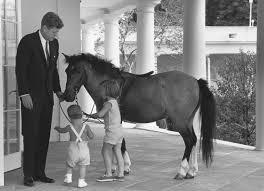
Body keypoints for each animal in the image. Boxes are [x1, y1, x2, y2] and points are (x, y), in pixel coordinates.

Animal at [63, 52, 216, 179]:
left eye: (77, 71)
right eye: (67, 71)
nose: (67, 95)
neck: (110, 84)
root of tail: (195, 81)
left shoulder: (116, 120)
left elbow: (120, 143)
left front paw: (123, 167)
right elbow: (117, 142)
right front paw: (116, 166)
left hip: (180, 122)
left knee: (189, 141)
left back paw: (182, 171)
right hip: (187, 121)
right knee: (194, 140)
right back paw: (192, 171)